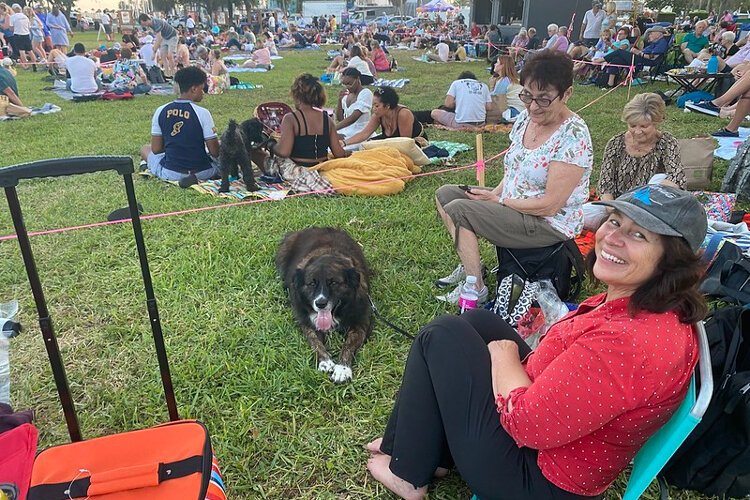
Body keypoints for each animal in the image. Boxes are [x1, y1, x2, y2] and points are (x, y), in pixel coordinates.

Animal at [274, 227, 374, 382]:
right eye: (311, 283)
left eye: (333, 282)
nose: (320, 303)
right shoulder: (307, 323)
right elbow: (316, 343)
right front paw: (325, 361)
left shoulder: (361, 323)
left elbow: (349, 344)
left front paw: (342, 369)